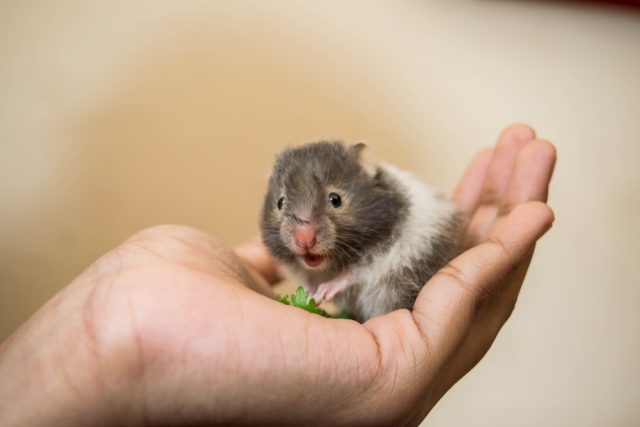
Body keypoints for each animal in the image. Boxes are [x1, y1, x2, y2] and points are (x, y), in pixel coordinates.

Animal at [260, 141, 462, 322]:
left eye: (335, 199)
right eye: (280, 202)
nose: (304, 240)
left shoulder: (381, 255)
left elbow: (352, 273)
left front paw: (324, 292)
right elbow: (308, 282)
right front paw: (311, 296)